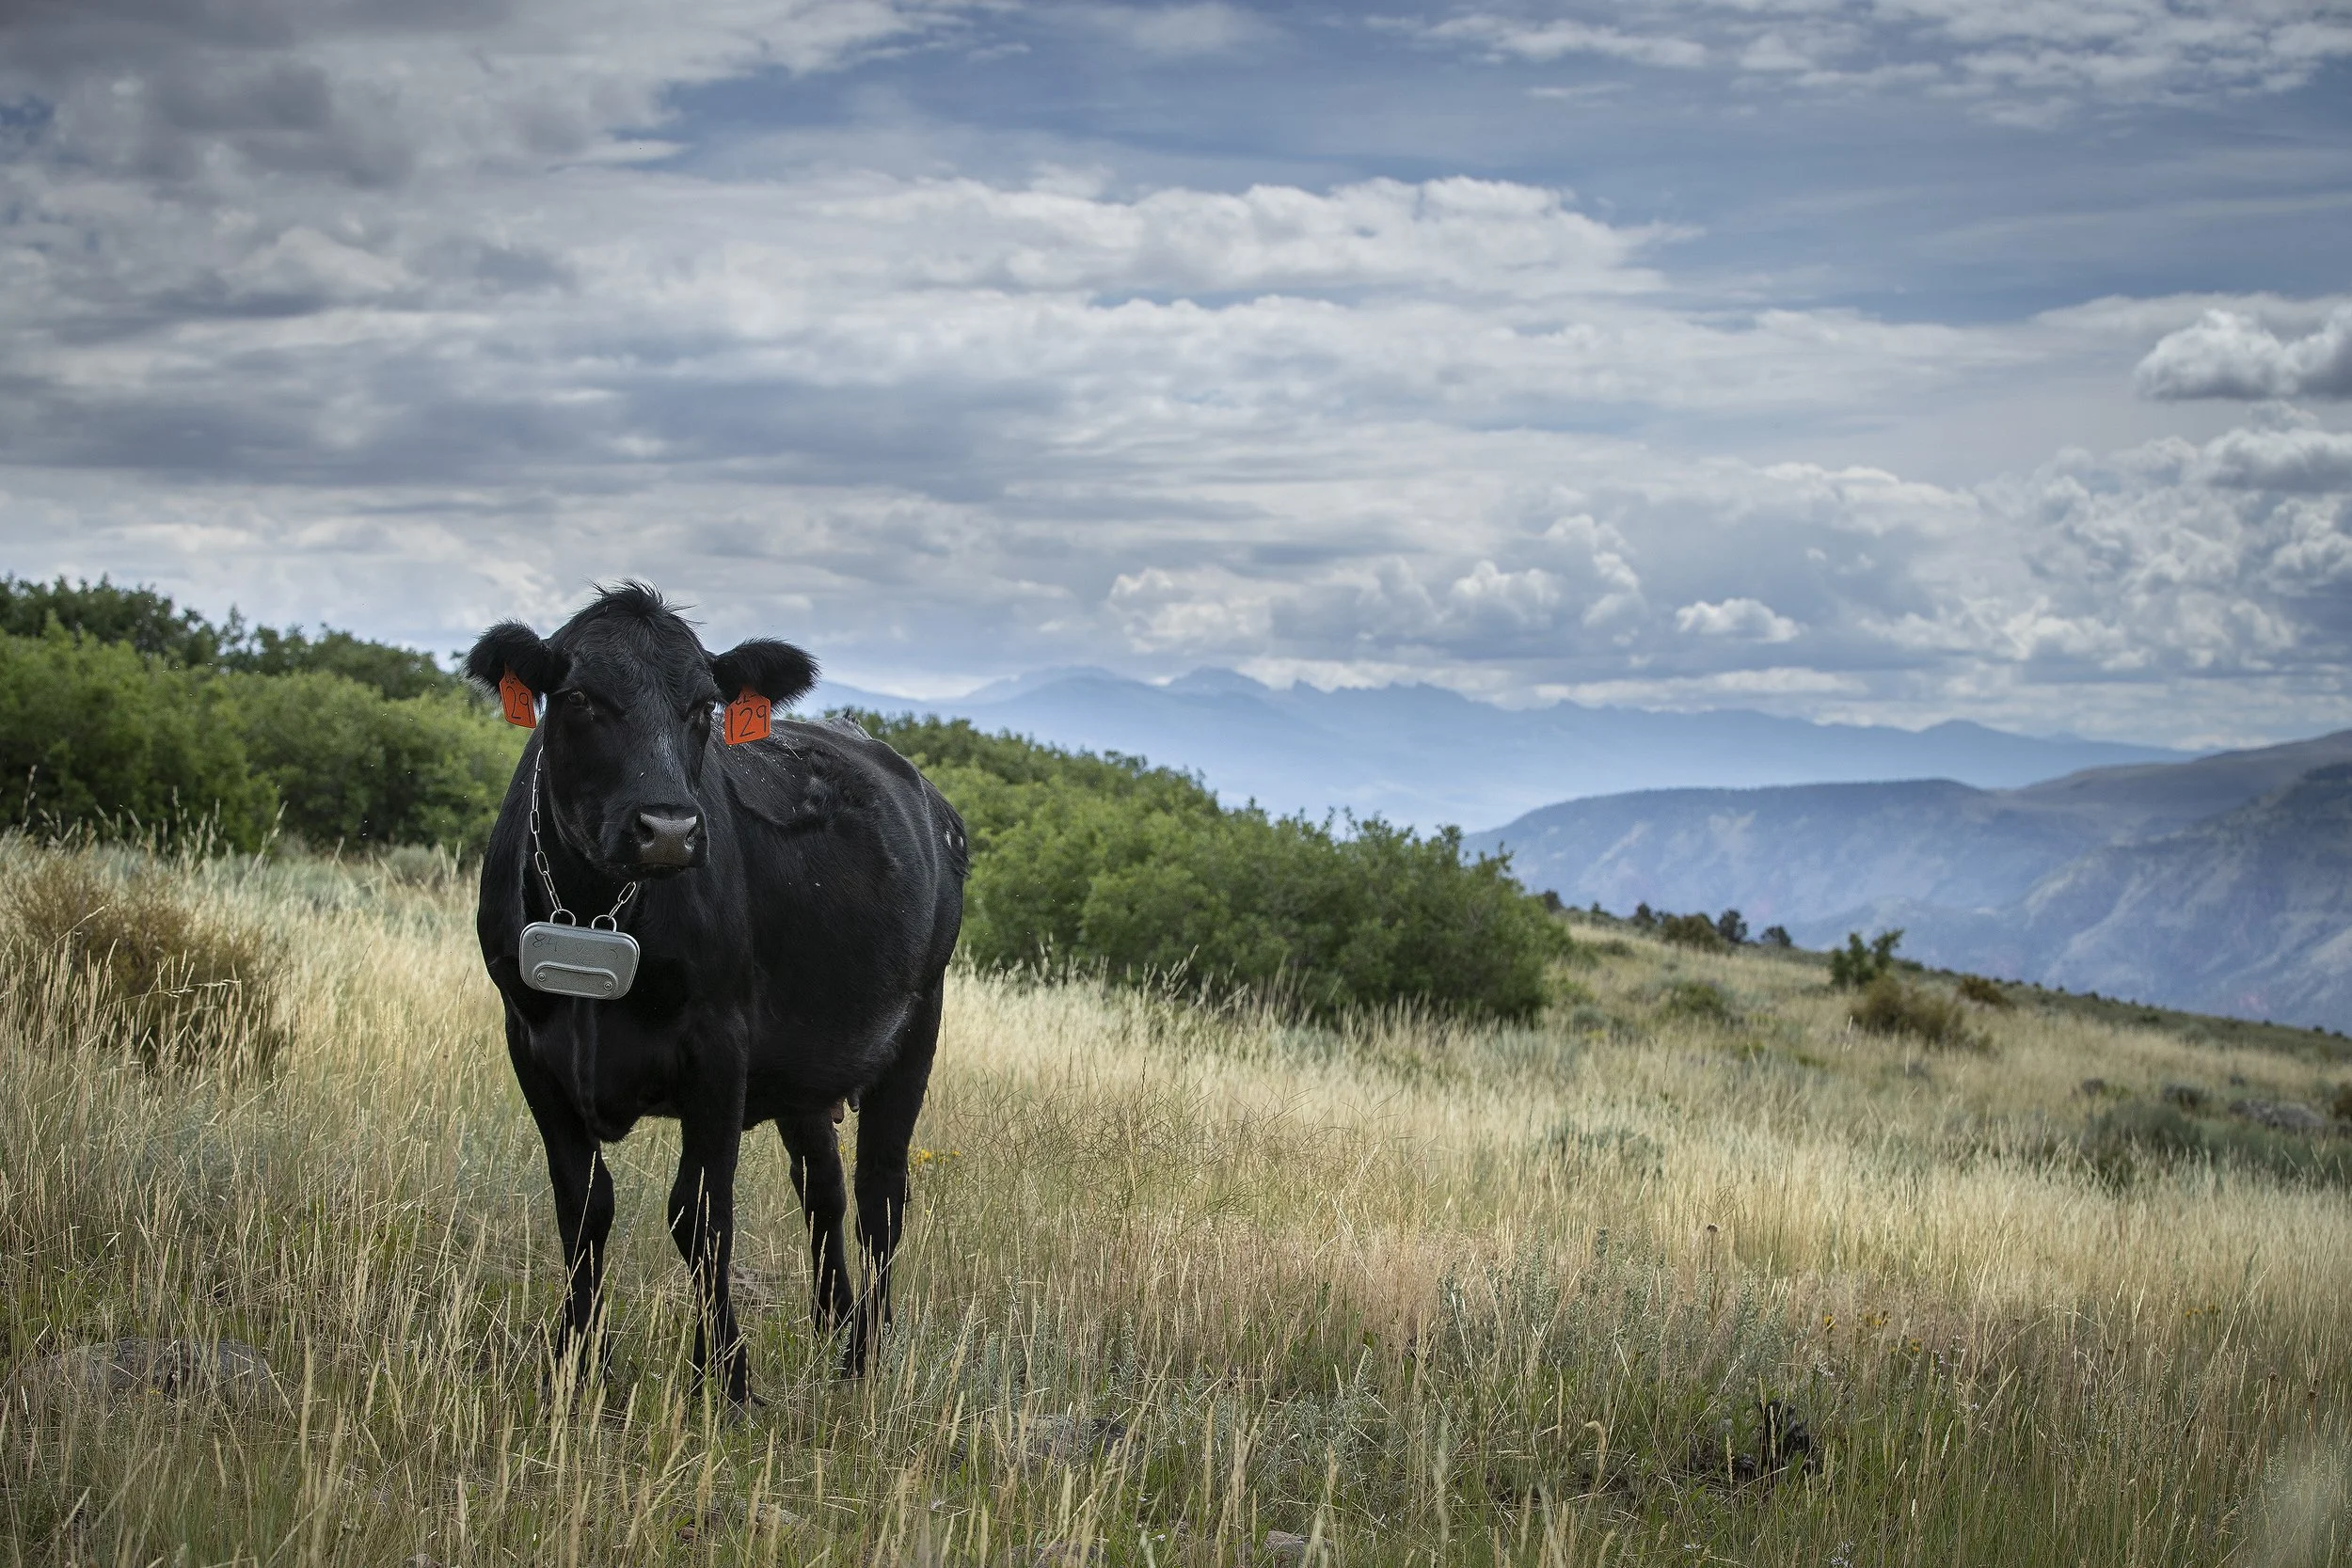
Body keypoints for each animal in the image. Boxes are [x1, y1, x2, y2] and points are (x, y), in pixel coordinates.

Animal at [464, 583, 966, 1400]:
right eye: (578, 698)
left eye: (703, 705)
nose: (668, 828)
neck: (595, 910)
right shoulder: (530, 1042)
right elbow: (582, 1204)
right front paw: (576, 1360)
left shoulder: (719, 1046)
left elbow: (699, 1211)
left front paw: (724, 1375)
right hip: (805, 1066)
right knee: (823, 1186)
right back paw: (832, 1324)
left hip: (916, 1027)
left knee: (880, 1197)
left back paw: (865, 1356)